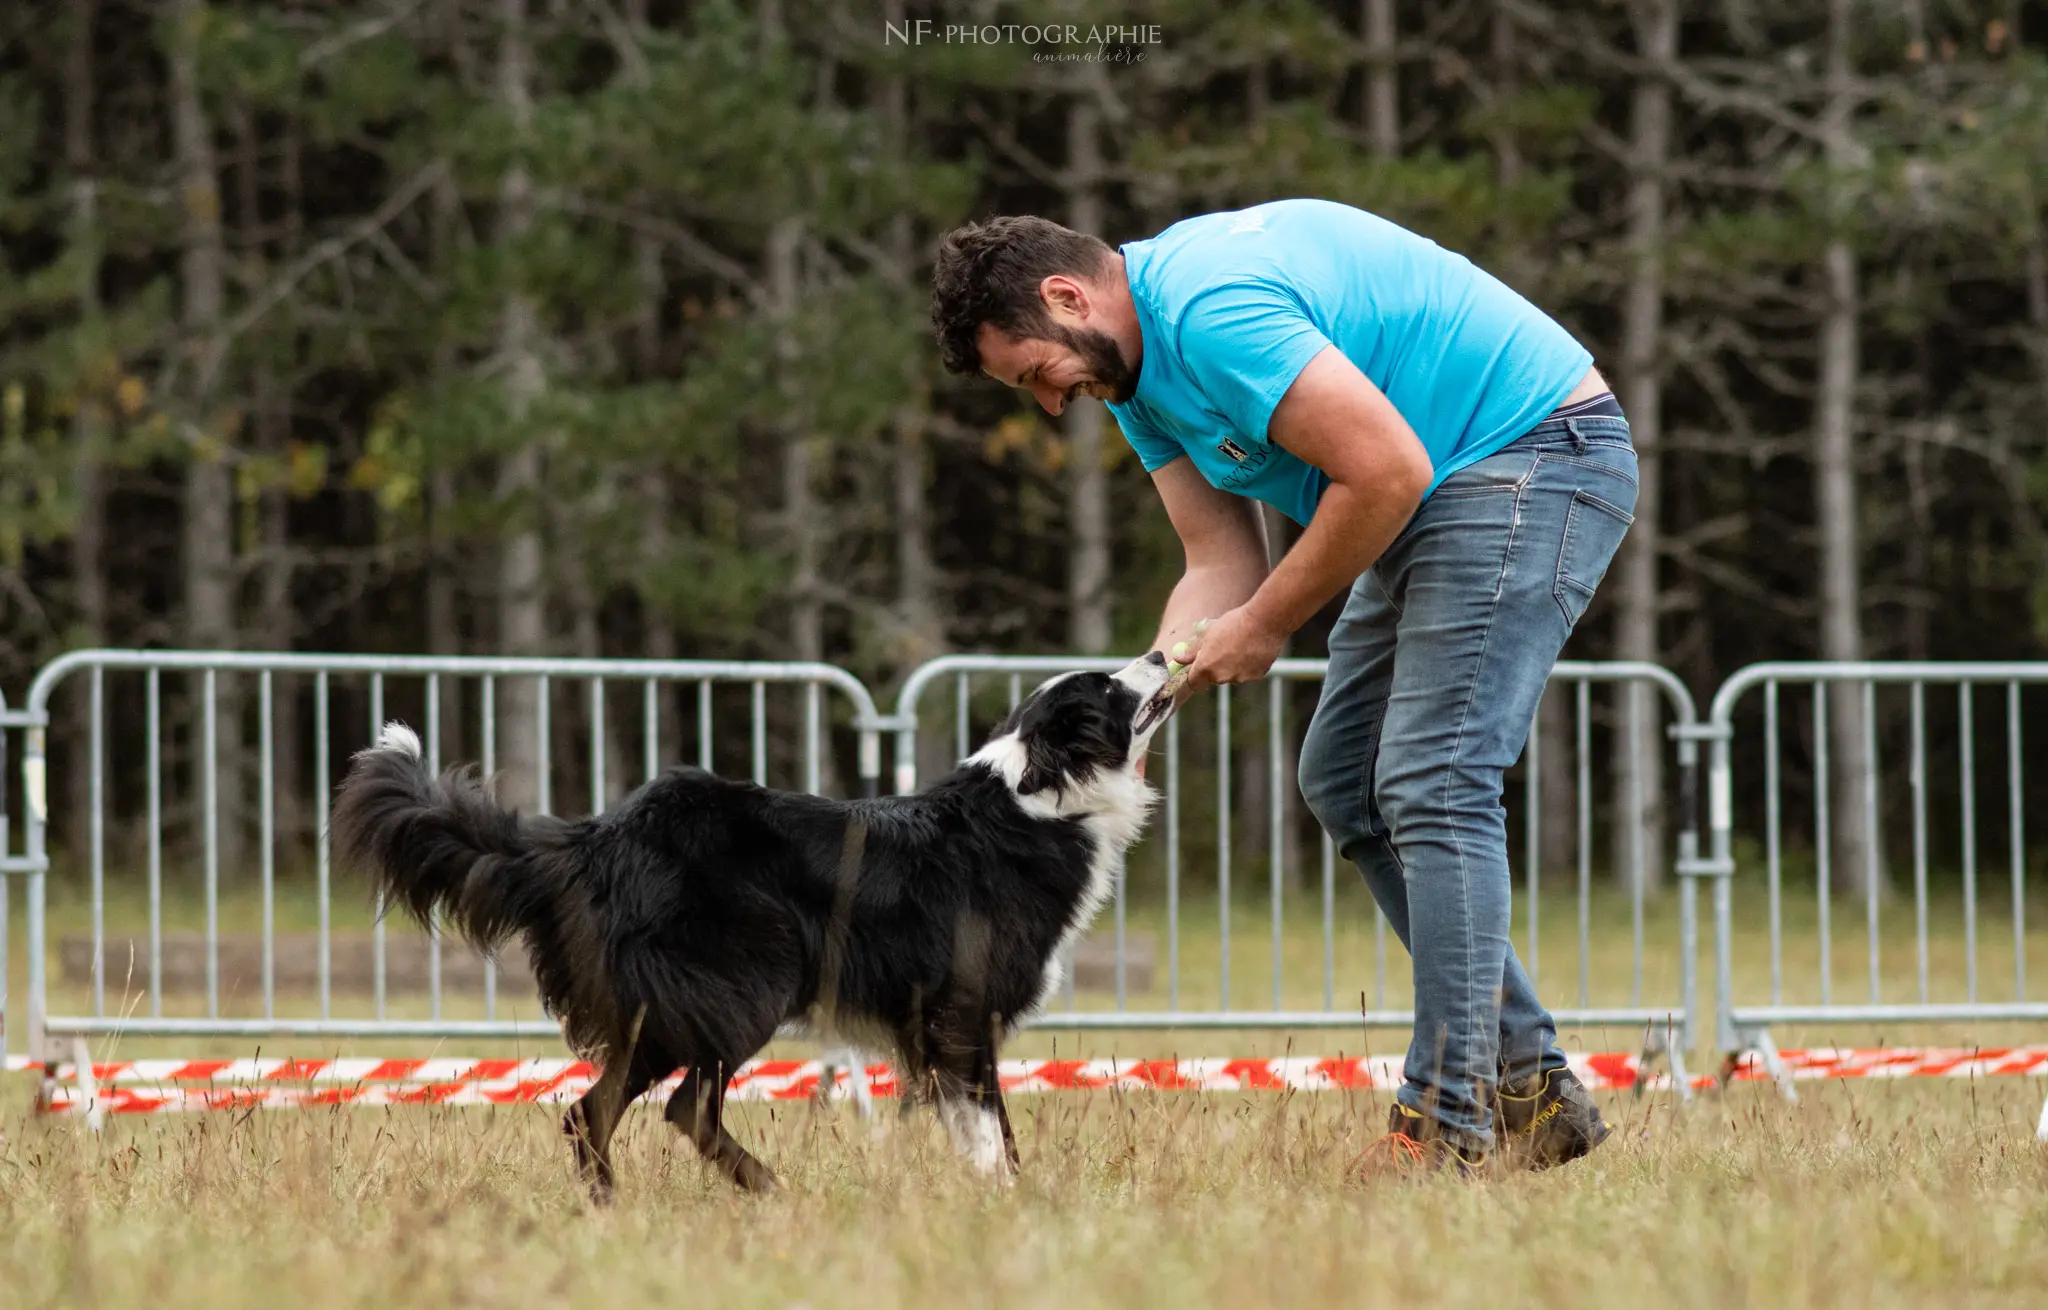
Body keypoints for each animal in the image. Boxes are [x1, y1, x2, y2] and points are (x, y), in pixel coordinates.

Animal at [327, 655, 1179, 1195]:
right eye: (1108, 687)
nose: (1164, 650)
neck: (1038, 797)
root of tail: (599, 837)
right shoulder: (960, 1014)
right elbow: (987, 1123)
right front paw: (1007, 1198)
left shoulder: (945, 1026)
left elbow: (979, 1121)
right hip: (739, 988)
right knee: (668, 1108)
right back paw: (762, 1189)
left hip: (670, 1011)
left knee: (590, 1111)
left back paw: (610, 1207)